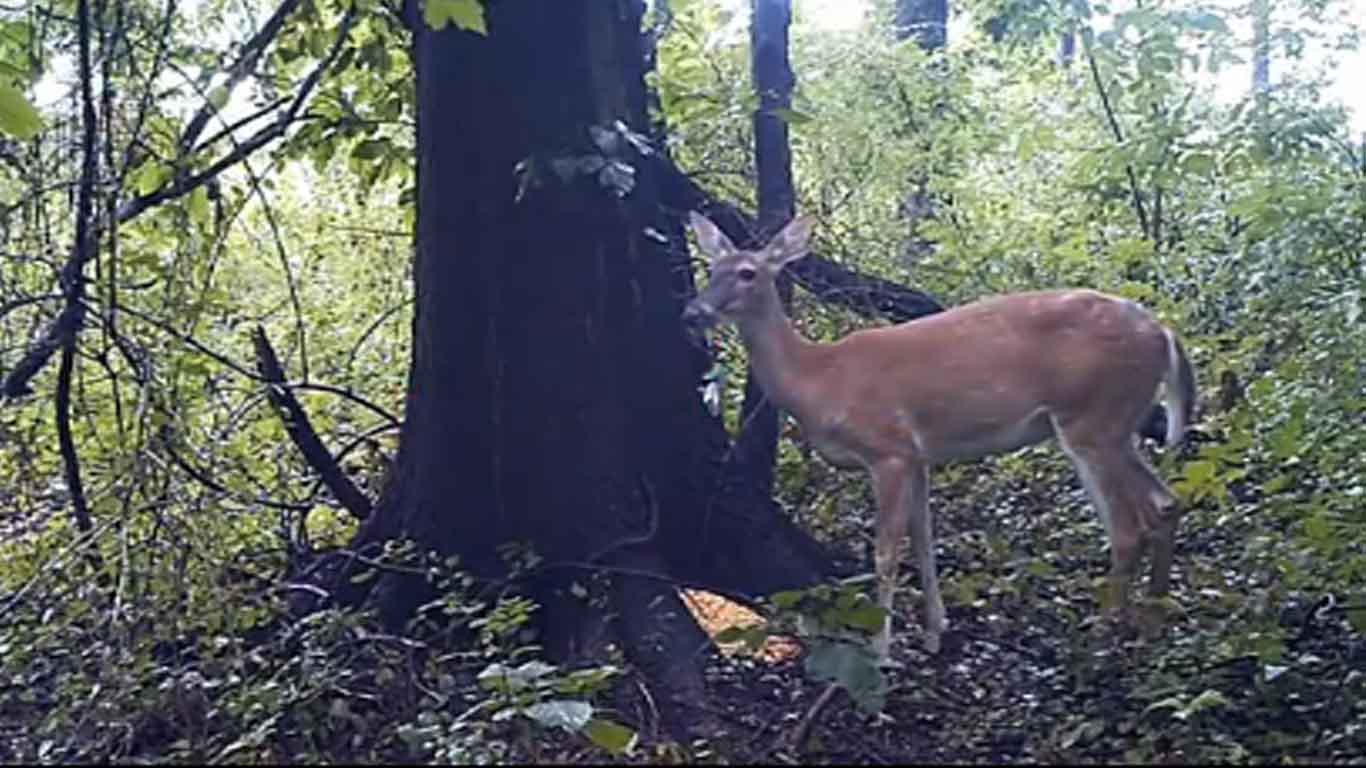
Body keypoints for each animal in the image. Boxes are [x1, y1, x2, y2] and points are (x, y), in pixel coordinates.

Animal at [681, 212, 1197, 664]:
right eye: (711, 268)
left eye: (747, 273)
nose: (692, 312)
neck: (819, 378)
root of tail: (1164, 332)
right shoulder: (919, 457)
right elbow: (925, 541)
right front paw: (935, 632)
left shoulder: (887, 448)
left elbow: (887, 552)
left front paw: (882, 650)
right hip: (1115, 426)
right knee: (1165, 503)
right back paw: (1152, 625)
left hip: (1093, 418)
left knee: (1127, 527)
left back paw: (1104, 640)